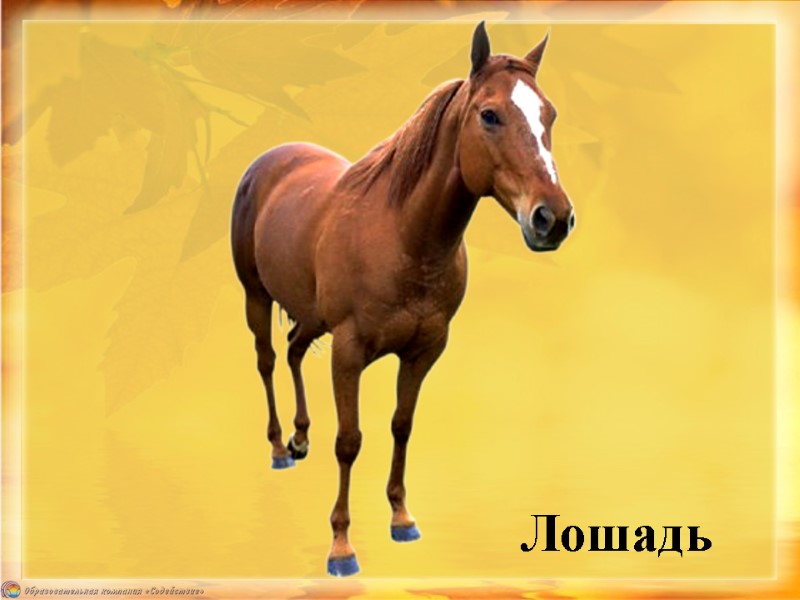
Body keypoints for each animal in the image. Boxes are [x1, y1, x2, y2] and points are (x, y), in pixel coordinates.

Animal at [230, 22, 574, 577]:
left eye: (549, 115)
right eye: (490, 114)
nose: (553, 219)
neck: (401, 235)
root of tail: (268, 161)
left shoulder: (423, 351)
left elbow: (402, 426)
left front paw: (401, 518)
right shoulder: (349, 352)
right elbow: (349, 441)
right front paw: (341, 547)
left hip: (310, 314)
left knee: (295, 349)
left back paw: (301, 438)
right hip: (255, 297)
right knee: (266, 360)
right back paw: (281, 447)